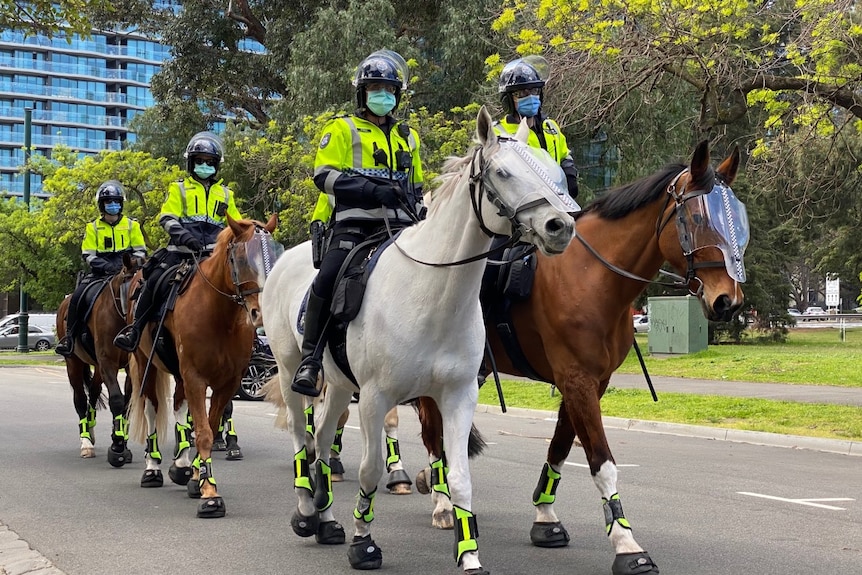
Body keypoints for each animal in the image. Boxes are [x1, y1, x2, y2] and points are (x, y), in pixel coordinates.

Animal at [56, 256, 141, 468]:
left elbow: (126, 404)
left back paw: (91, 428)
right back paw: (86, 442)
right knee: (80, 399)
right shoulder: (107, 362)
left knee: (93, 394)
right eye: (133, 289)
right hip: (73, 363)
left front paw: (122, 443)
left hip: (97, 368)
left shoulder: (128, 368)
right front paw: (117, 447)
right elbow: (117, 400)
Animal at [127, 214, 280, 520]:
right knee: (152, 408)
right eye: (241, 258)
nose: (260, 312)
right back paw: (152, 469)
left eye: (274, 253)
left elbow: (207, 425)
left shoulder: (227, 383)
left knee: (179, 407)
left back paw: (181, 466)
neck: (219, 315)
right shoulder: (196, 378)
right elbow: (205, 433)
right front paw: (210, 494)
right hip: (145, 362)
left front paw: (197, 478)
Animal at [260, 106, 576, 572]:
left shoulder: (458, 395)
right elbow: (371, 470)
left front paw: (469, 555)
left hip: (339, 384)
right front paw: (364, 543)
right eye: (503, 172)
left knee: (322, 440)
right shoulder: (375, 398)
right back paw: (305, 513)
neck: (434, 291)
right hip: (289, 374)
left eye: (553, 170)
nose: (560, 226)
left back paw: (327, 519)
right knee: (303, 440)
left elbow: (459, 477)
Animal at [418, 141, 748, 575]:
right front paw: (627, 545)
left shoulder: (589, 382)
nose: (728, 301)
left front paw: (545, 518)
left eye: (738, 221)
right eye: (696, 218)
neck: (590, 276)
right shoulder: (577, 380)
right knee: (432, 432)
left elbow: (560, 447)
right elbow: (602, 462)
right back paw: (441, 501)